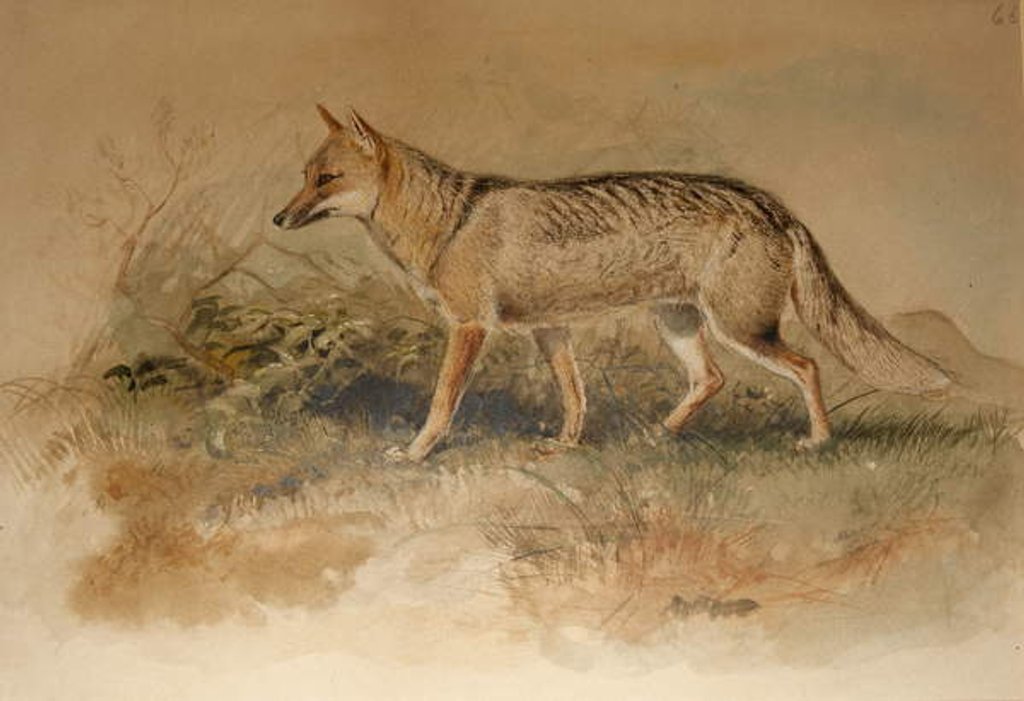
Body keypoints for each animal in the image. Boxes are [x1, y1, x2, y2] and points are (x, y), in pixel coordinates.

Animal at [273, 104, 951, 461]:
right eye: (304, 176)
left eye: (326, 179)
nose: (278, 219)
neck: (446, 222)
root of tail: (770, 202)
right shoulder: (550, 331)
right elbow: (575, 397)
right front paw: (565, 447)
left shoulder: (469, 328)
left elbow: (441, 402)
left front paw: (415, 454)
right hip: (680, 326)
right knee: (711, 380)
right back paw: (658, 437)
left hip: (740, 330)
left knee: (806, 367)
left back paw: (817, 440)